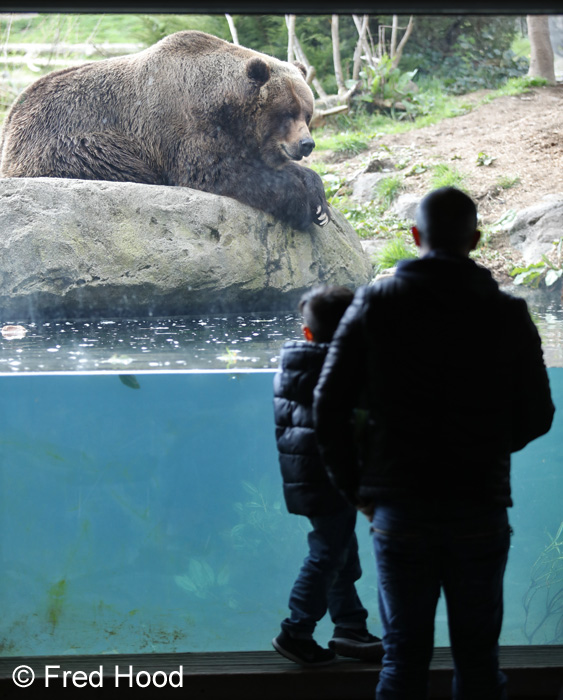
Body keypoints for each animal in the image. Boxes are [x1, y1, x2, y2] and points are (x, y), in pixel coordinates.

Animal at [0, 31, 330, 231]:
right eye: (286, 114)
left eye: (307, 112)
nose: (307, 144)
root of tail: (13, 112)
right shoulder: (182, 126)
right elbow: (217, 170)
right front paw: (302, 204)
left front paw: (317, 196)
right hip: (70, 140)